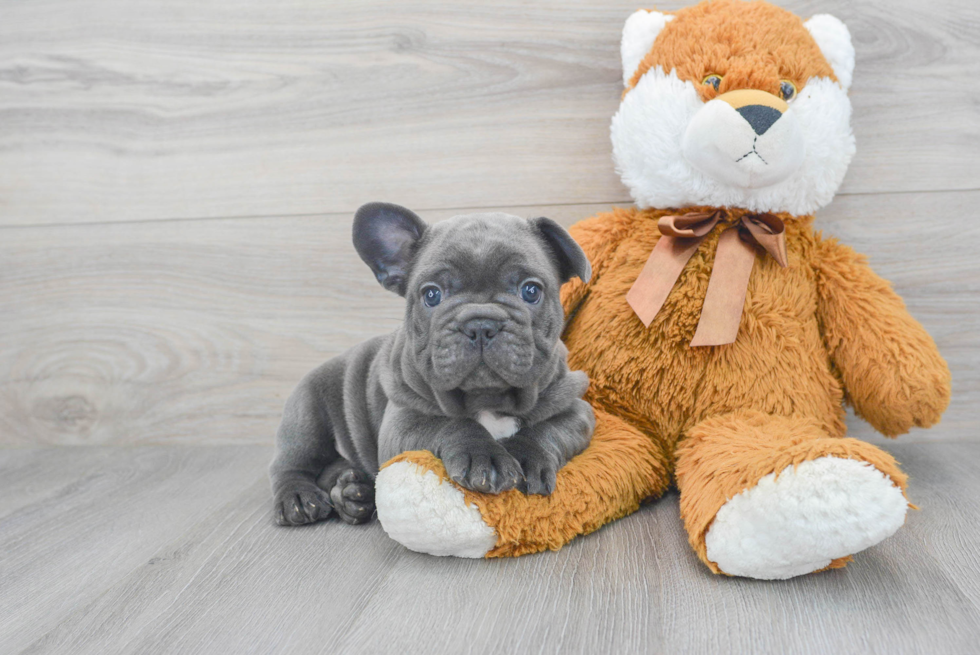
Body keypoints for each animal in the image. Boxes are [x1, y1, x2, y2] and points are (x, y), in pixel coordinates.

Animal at [272, 205, 596, 528]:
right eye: (432, 295)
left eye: (530, 291)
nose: (480, 323)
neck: (487, 398)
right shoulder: (402, 423)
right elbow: (449, 423)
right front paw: (484, 456)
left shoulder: (577, 409)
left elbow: (547, 430)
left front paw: (528, 458)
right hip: (306, 413)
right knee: (291, 464)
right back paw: (299, 498)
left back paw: (352, 493)